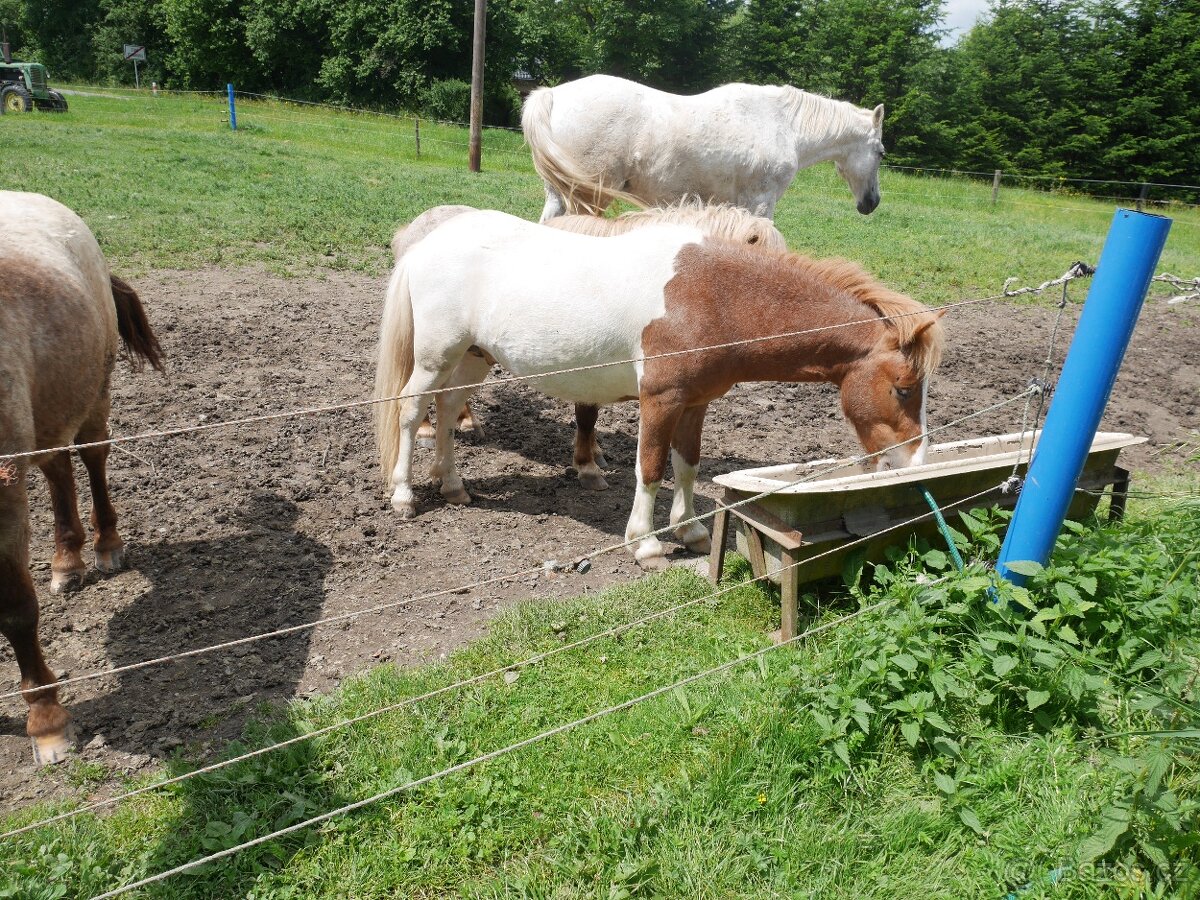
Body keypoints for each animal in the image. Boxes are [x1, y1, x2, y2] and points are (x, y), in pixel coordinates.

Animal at [0, 191, 164, 764]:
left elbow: (16, 611)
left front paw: (47, 723)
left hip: (94, 391)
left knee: (91, 458)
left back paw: (105, 546)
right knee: (57, 470)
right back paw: (66, 560)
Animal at [522, 74, 886, 222]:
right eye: (881, 153)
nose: (872, 202)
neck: (782, 123)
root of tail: (553, 95)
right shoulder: (761, 203)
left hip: (560, 196)